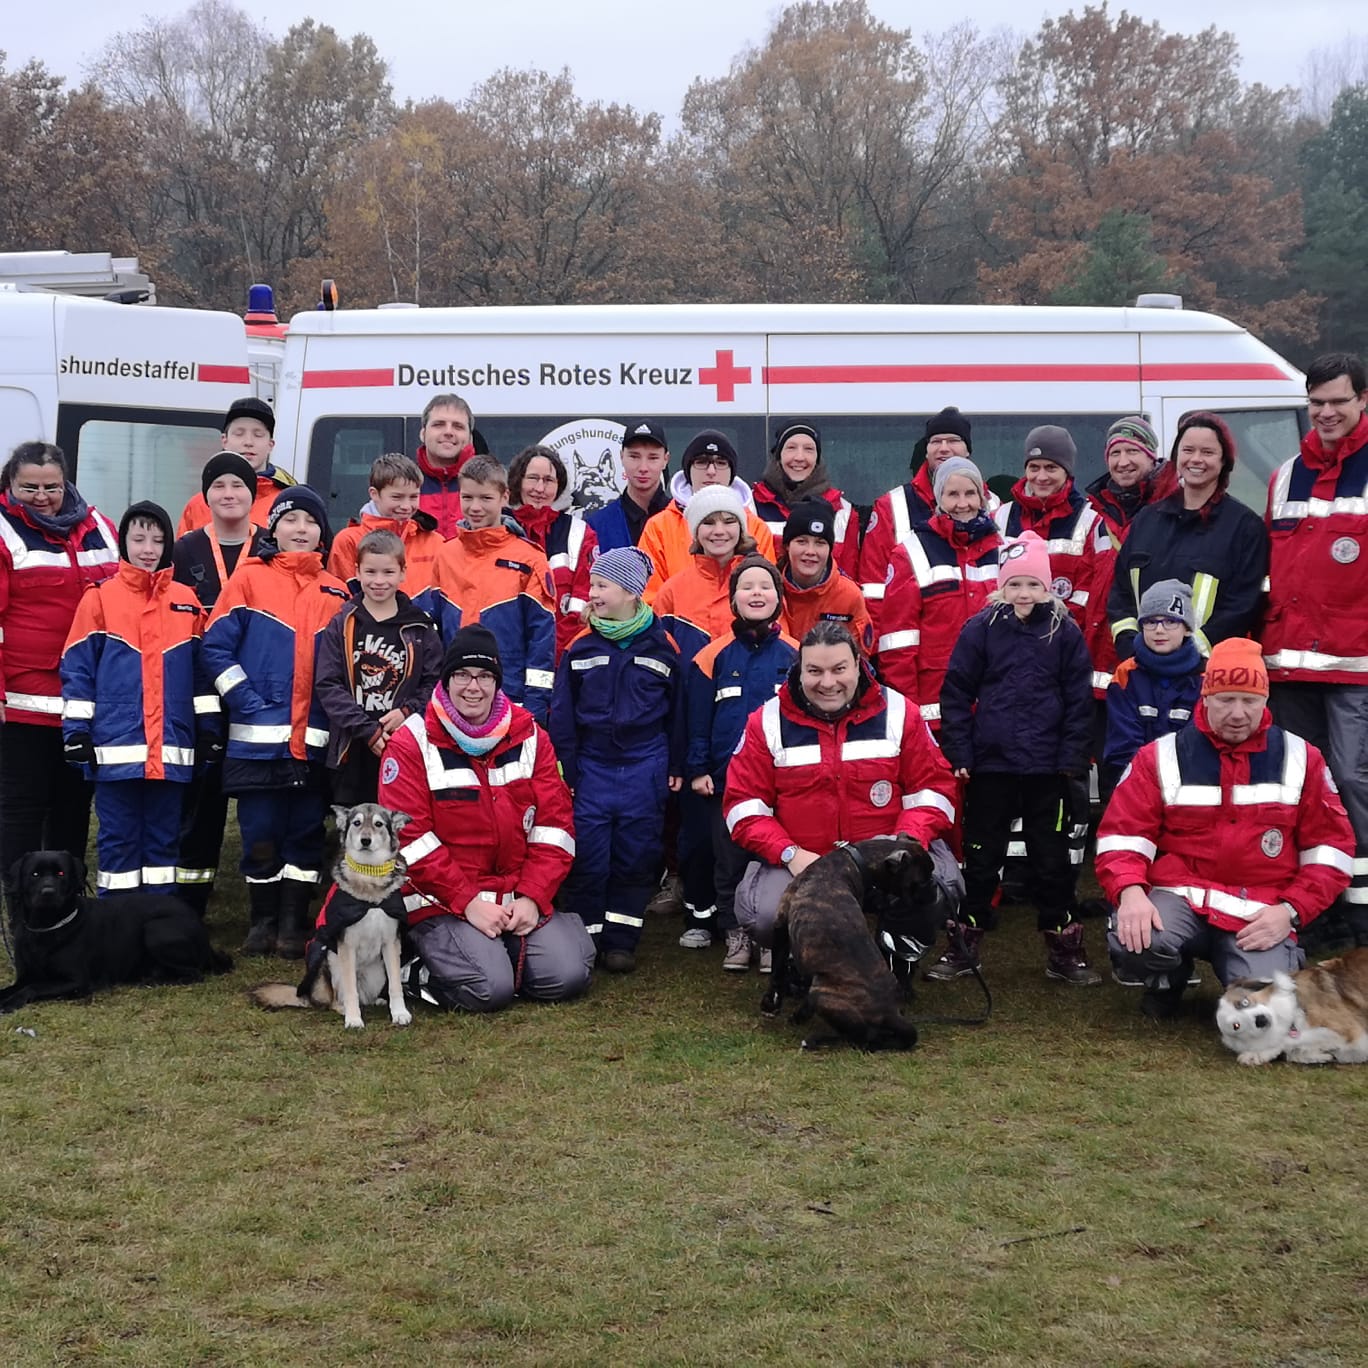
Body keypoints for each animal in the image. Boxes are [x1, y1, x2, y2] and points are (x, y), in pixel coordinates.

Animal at [0, 853, 232, 1017]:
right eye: (34, 874)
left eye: (61, 874)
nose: (47, 893)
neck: (47, 927)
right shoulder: (26, 975)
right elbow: (13, 987)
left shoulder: (76, 981)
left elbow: (33, 987)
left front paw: (10, 1003)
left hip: (155, 930)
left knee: (194, 973)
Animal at [760, 831, 941, 1045]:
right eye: (922, 881)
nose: (935, 886)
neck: (849, 861)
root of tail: (889, 1012)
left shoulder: (780, 925)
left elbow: (777, 971)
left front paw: (771, 1003)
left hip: (821, 991)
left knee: (861, 1037)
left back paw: (813, 1036)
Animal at [1220, 952, 1368, 1067]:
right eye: (1236, 1026)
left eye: (1244, 1002)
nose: (1260, 1020)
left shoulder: (1351, 1033)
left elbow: (1287, 1041)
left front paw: (1256, 1054)